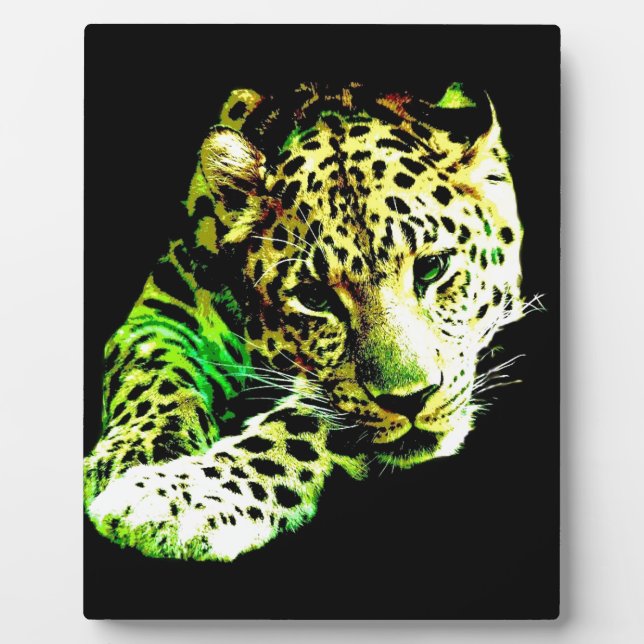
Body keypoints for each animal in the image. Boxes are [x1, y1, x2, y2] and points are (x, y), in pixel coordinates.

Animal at [84, 82, 528, 562]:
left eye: (431, 269)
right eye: (315, 297)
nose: (412, 400)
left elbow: (300, 425)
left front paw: (177, 498)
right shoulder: (166, 307)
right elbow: (153, 374)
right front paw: (131, 455)